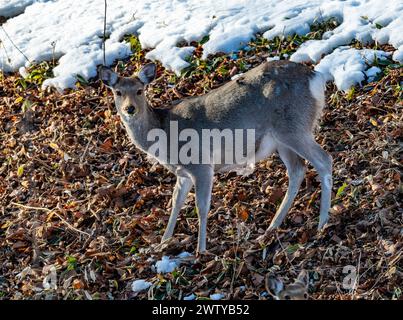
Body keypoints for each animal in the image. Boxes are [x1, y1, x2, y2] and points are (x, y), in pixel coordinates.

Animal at [99, 60, 332, 255]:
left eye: (139, 90)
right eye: (118, 92)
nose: (130, 109)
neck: (165, 137)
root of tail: (316, 77)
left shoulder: (201, 164)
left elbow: (201, 206)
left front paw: (200, 250)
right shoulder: (183, 173)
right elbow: (175, 202)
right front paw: (162, 243)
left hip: (294, 126)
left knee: (324, 160)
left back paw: (322, 224)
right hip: (282, 140)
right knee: (297, 170)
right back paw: (272, 228)